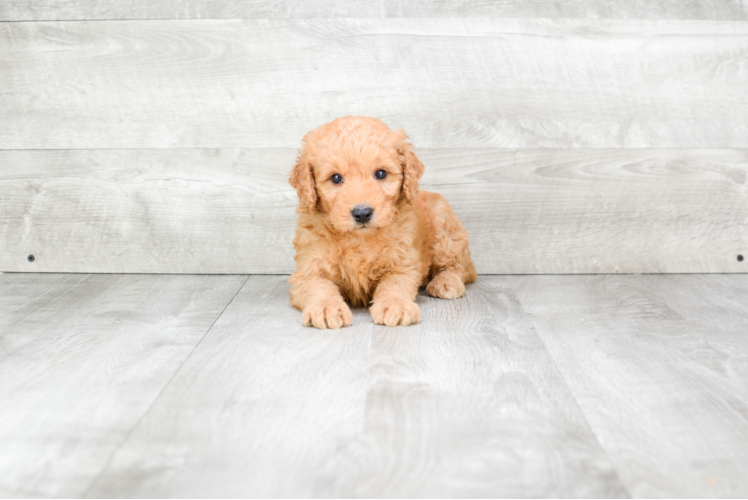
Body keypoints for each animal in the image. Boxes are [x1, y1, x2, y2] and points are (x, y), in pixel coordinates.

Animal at [290, 116, 476, 328]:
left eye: (381, 174)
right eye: (335, 178)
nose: (362, 213)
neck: (359, 239)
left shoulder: (402, 262)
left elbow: (394, 284)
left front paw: (395, 305)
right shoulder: (308, 268)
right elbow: (318, 286)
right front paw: (326, 307)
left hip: (444, 226)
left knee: (460, 267)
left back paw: (446, 282)